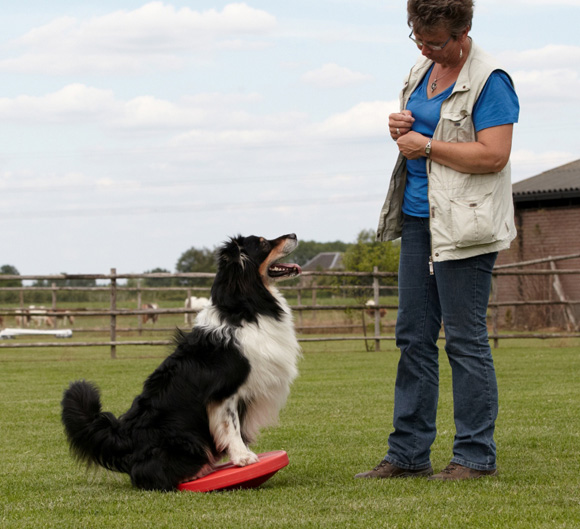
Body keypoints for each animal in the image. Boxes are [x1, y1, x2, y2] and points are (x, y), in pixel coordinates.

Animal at [61, 233, 302, 488]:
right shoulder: (225, 392)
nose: (294, 235)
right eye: (263, 242)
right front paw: (243, 458)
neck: (243, 308)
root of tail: (124, 438)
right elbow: (231, 425)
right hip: (184, 439)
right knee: (145, 473)